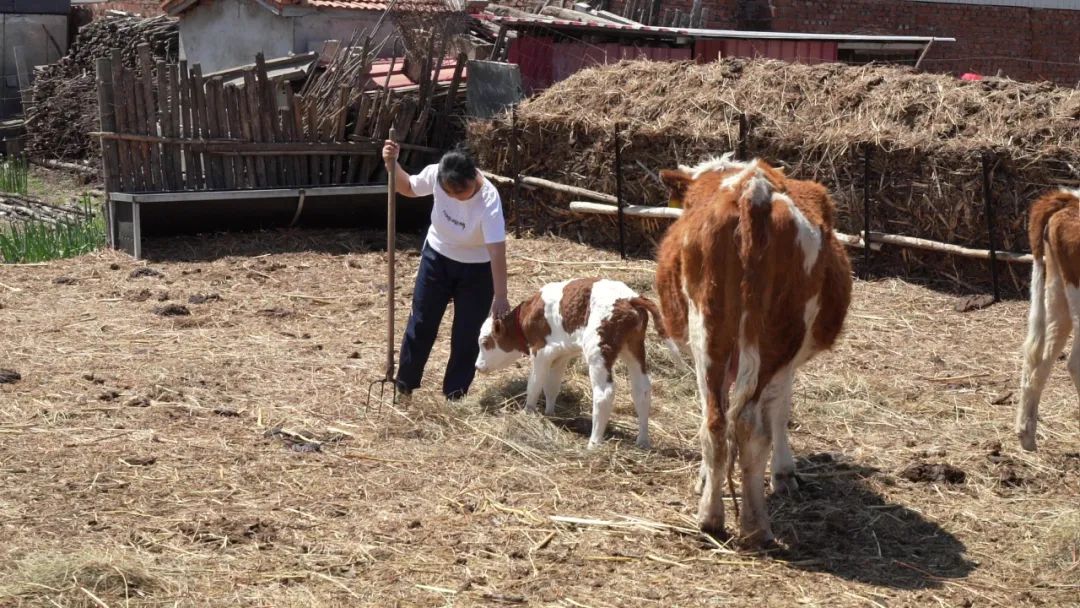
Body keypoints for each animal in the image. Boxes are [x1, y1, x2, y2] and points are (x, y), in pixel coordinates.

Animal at [473, 278, 673, 449]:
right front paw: (549, 413)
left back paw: (593, 444)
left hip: (598, 352)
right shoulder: (560, 355)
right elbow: (552, 386)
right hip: (634, 349)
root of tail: (630, 298)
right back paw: (643, 441)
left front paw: (527, 413)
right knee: (642, 390)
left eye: (485, 342)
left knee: (604, 394)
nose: (477, 366)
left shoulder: (541, 352)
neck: (527, 316)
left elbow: (534, 384)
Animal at [648, 154, 851, 544]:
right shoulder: (787, 364)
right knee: (750, 425)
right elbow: (780, 411)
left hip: (708, 330)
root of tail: (752, 191)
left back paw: (710, 517)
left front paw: (705, 479)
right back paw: (755, 526)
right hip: (777, 339)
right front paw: (785, 473)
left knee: (715, 421)